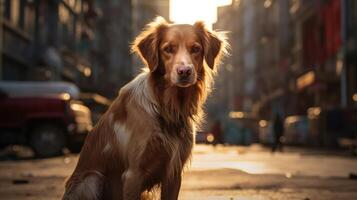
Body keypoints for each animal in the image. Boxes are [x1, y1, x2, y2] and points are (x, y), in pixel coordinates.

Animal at [62, 17, 227, 200]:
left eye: (196, 49)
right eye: (168, 49)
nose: (184, 71)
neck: (166, 107)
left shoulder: (174, 173)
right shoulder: (133, 173)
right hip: (91, 180)